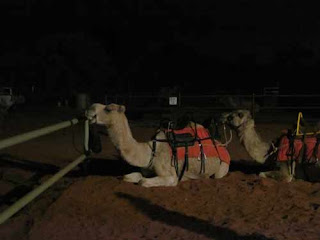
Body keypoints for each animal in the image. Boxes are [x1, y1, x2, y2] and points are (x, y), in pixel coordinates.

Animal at [85, 103, 230, 188]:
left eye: (108, 108)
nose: (89, 108)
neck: (150, 152)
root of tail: (223, 146)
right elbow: (129, 176)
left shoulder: (171, 176)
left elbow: (143, 182)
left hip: (222, 167)